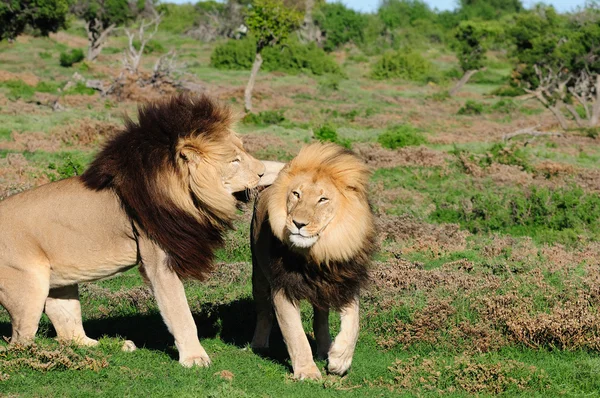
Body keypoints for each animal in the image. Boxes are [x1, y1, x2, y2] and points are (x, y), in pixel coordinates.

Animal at [0, 93, 268, 366]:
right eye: (234, 161)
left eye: (243, 152)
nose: (262, 172)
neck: (185, 194)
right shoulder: (158, 260)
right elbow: (180, 313)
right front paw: (194, 358)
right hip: (28, 290)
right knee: (19, 343)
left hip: (60, 283)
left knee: (69, 333)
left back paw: (114, 346)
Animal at [248, 142, 376, 380]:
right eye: (296, 194)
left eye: (322, 199)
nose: (298, 223)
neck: (317, 253)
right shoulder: (283, 288)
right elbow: (295, 334)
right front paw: (307, 372)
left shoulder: (346, 280)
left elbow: (354, 323)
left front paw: (339, 359)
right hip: (258, 273)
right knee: (263, 310)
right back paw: (259, 344)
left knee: (321, 318)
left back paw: (325, 348)